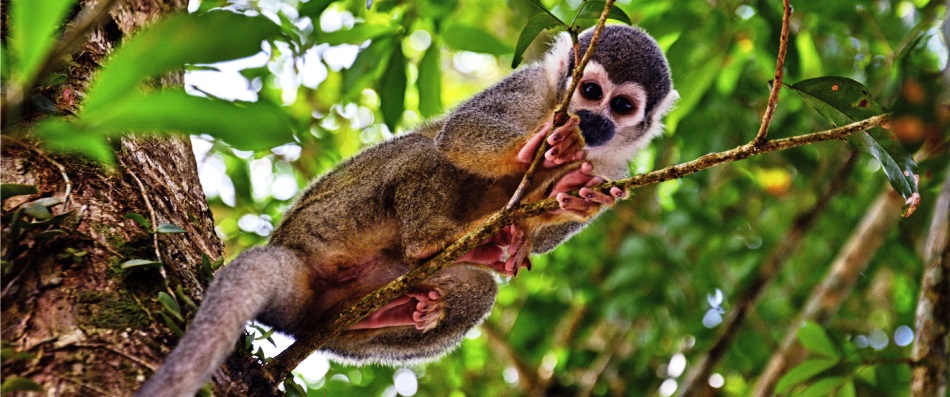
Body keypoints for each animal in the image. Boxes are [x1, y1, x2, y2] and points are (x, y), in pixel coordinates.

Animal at [139, 25, 676, 396]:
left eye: (622, 106)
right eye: (590, 91)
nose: (592, 120)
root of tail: (289, 250)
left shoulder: (617, 160)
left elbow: (552, 224)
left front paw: (572, 194)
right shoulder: (528, 87)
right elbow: (459, 137)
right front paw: (537, 150)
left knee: (477, 289)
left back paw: (384, 311)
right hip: (329, 222)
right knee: (425, 151)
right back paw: (427, 243)